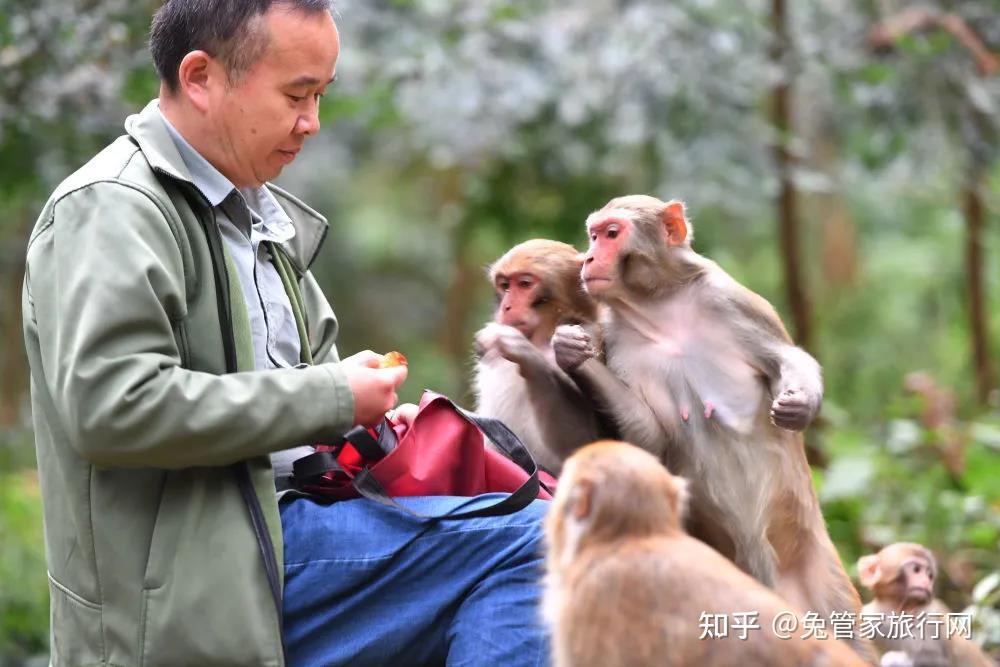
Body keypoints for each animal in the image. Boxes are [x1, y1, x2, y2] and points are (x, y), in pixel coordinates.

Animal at [474, 240, 604, 474]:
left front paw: (524, 353)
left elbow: (584, 444)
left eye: (525, 284)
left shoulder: (591, 339)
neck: (541, 339)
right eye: (505, 285)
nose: (506, 306)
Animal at [856, 544, 996, 667]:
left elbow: (941, 661)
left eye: (930, 575)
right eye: (916, 569)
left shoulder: (931, 615)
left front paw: (897, 660)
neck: (898, 610)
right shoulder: (869, 614)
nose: (926, 582)